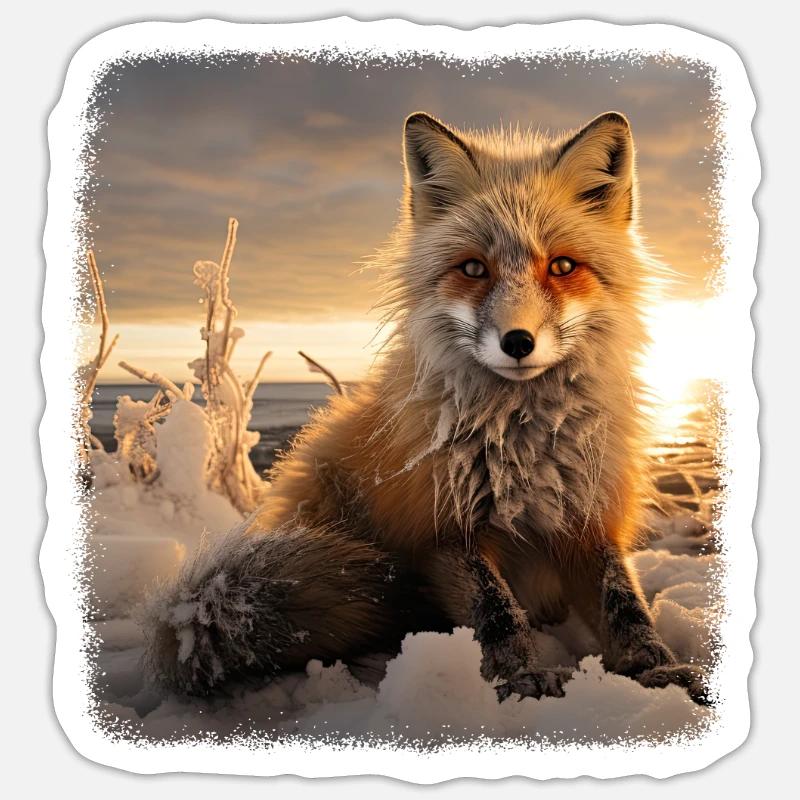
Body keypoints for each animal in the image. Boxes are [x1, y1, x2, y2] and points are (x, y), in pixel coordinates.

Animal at [143, 110, 708, 705]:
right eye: (474, 269)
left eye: (562, 266)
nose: (518, 341)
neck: (524, 445)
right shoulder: (443, 529)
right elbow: (496, 613)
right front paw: (519, 680)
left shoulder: (587, 517)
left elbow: (625, 606)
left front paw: (659, 670)